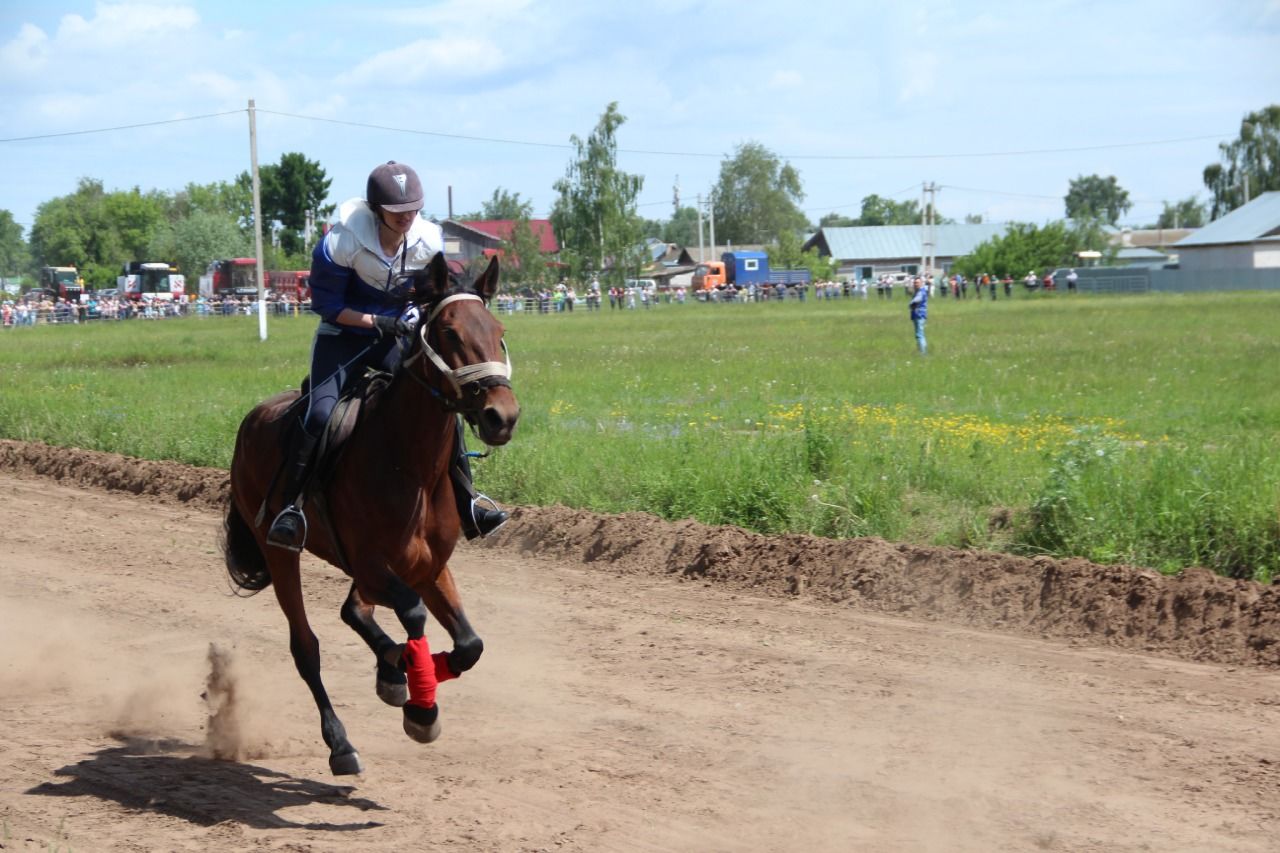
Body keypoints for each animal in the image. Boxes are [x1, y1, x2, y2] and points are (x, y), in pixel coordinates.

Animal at [222, 251, 517, 768]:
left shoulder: (428, 566)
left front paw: (408, 677)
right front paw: (420, 703)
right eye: (450, 333)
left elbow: (469, 645)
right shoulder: (374, 566)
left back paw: (390, 671)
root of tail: (252, 420)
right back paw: (341, 741)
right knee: (306, 646)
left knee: (352, 611)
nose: (503, 415)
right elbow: (413, 615)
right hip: (279, 552)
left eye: (497, 329)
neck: (408, 463)